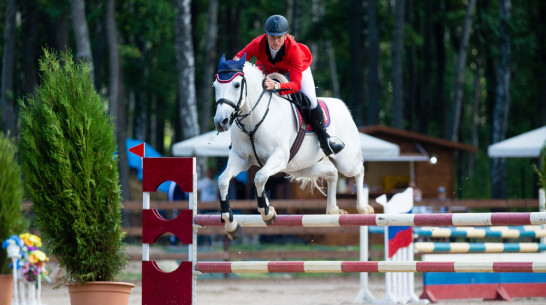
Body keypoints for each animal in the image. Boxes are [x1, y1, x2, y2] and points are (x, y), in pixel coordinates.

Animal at [210, 55, 372, 240]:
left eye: (237, 85)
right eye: (215, 86)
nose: (221, 122)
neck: (253, 120)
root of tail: (342, 106)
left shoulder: (278, 158)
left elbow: (259, 177)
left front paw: (268, 213)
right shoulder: (240, 159)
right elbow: (224, 180)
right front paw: (231, 224)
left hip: (346, 161)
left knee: (358, 170)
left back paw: (363, 208)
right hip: (301, 168)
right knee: (332, 173)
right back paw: (333, 210)